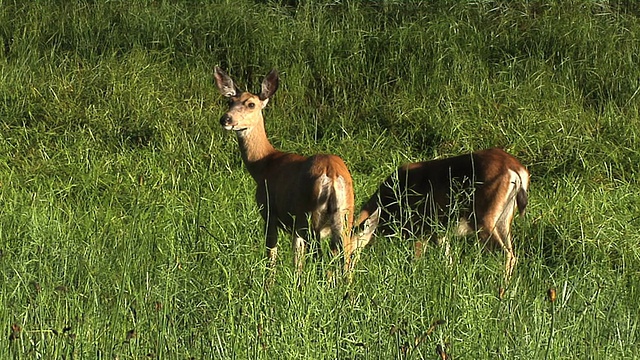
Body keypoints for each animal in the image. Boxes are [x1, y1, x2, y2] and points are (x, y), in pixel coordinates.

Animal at [215, 66, 378, 278]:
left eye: (251, 104)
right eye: (230, 101)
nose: (226, 119)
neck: (264, 163)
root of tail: (332, 175)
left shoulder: (269, 212)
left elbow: (272, 257)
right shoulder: (295, 227)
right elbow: (296, 262)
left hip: (310, 216)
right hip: (344, 215)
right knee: (345, 258)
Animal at [352, 148, 528, 280]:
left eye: (351, 250)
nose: (348, 273)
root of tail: (516, 170)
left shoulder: (420, 227)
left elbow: (415, 261)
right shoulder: (438, 232)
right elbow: (447, 260)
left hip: (483, 217)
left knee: (505, 255)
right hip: (504, 219)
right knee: (511, 253)